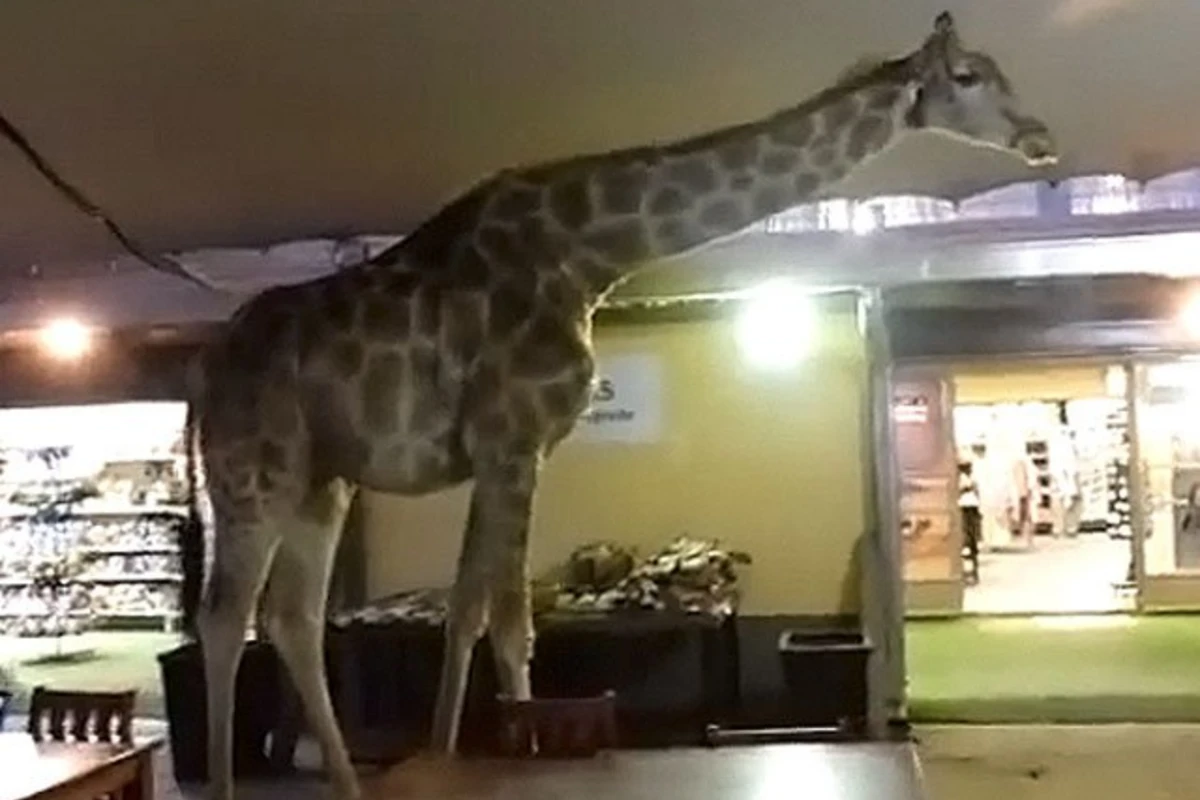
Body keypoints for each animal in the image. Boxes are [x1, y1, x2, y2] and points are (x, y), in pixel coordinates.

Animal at [186, 11, 1056, 800]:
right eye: (968, 76)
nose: (1041, 138)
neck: (591, 253)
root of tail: (204, 375)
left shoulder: (505, 448)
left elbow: (472, 610)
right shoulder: (512, 439)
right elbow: (502, 620)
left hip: (320, 482)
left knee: (292, 619)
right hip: (254, 474)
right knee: (225, 619)